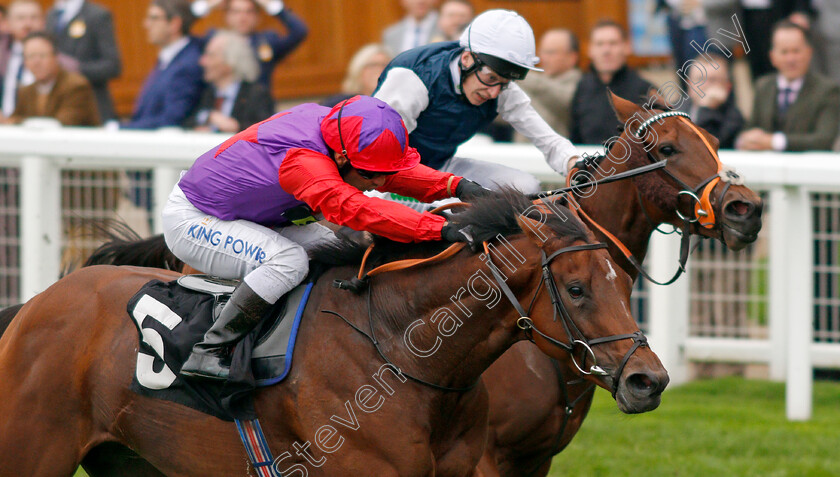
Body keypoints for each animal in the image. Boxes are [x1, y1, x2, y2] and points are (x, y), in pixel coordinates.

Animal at [0, 192, 668, 476]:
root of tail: (33, 305)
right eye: (577, 289)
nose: (649, 380)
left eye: (624, 280)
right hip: (33, 454)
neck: (400, 350)